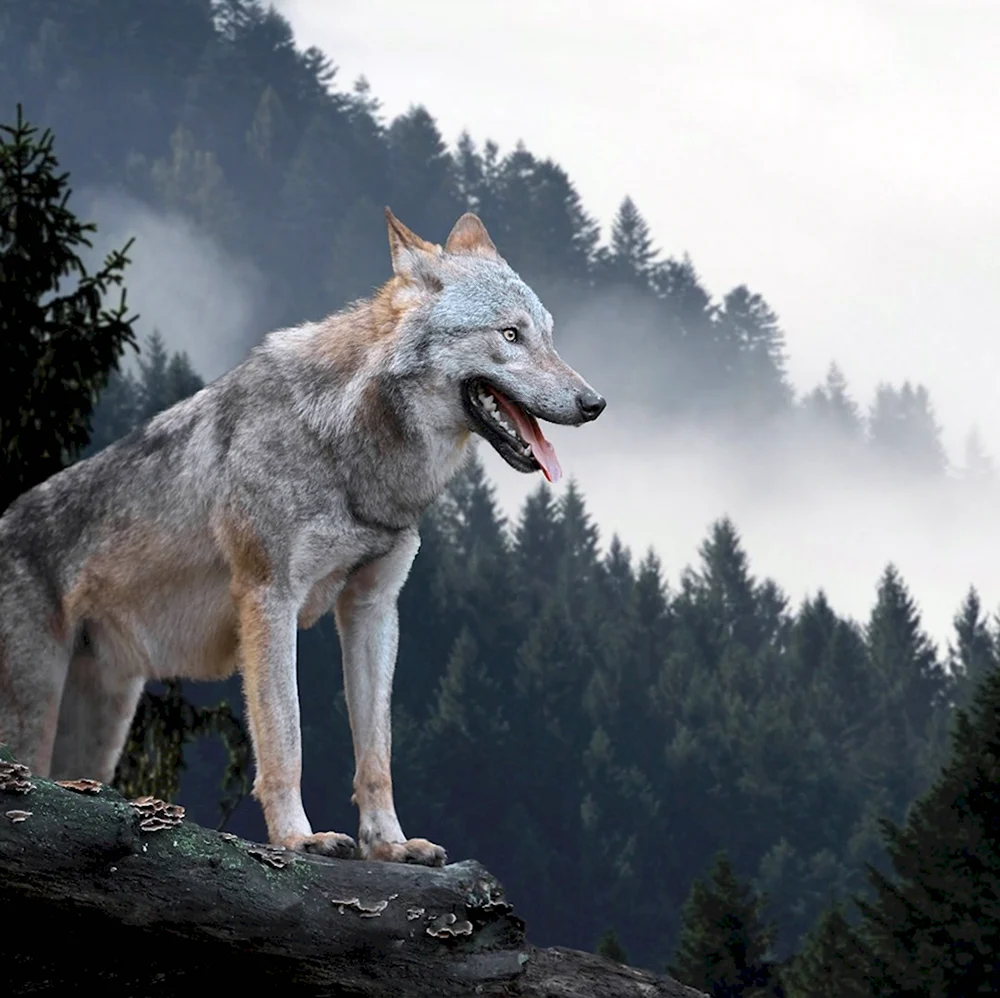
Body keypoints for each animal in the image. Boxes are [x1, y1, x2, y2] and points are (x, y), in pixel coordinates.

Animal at [0, 208, 605, 865]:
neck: (349, 449)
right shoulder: (269, 599)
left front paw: (390, 845)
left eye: (548, 335)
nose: (595, 402)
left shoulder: (373, 608)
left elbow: (376, 753)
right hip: (35, 716)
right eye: (510, 334)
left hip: (99, 731)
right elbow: (285, 739)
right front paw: (298, 837)